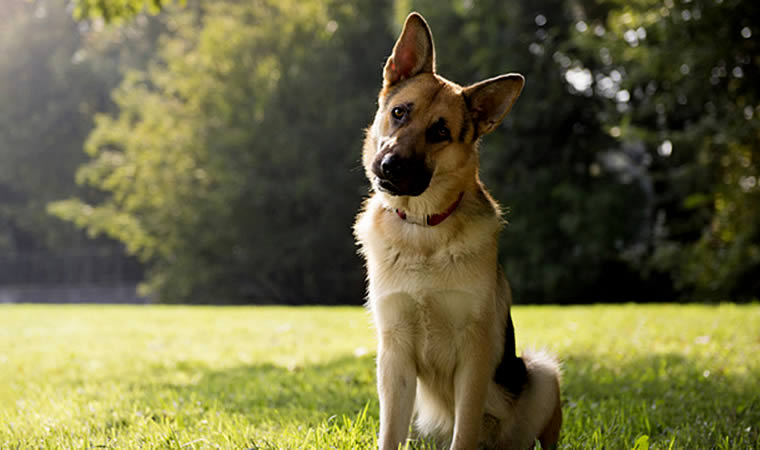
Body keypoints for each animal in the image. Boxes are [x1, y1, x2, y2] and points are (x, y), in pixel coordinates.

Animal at [354, 12, 560, 448]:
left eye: (440, 132)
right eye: (400, 112)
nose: (390, 167)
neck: (422, 229)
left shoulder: (474, 353)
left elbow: (464, 430)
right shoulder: (394, 355)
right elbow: (389, 433)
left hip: (543, 373)